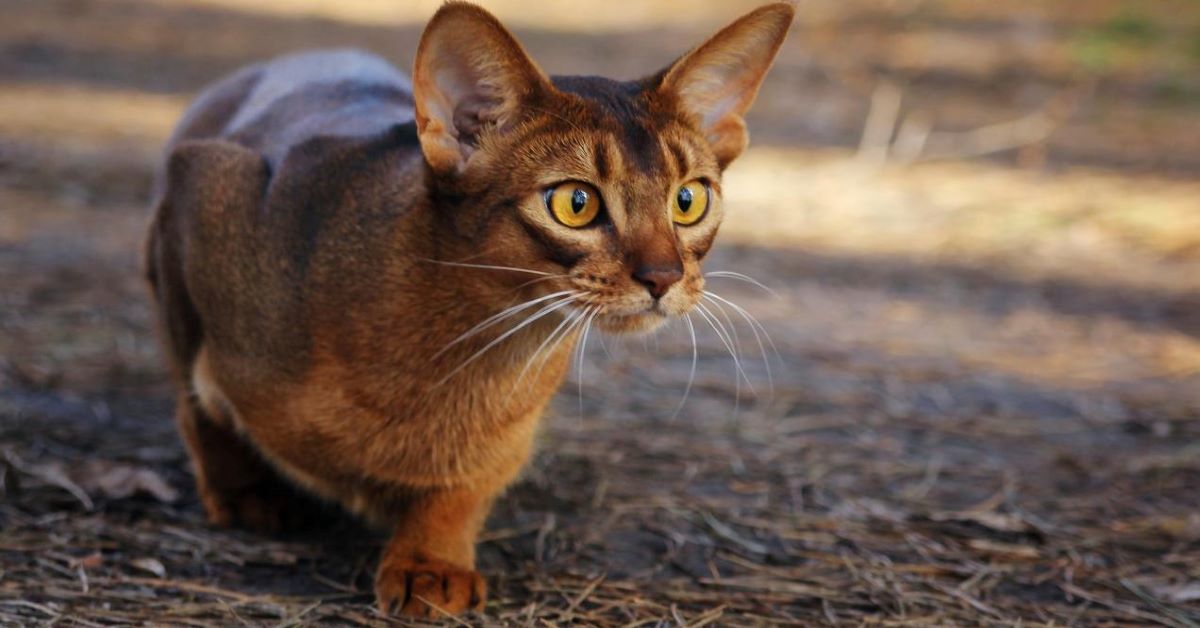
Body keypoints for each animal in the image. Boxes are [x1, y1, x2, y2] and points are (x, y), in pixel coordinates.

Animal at [142, 1, 796, 619]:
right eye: (576, 203)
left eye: (688, 200)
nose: (663, 277)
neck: (470, 348)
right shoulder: (204, 183)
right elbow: (196, 398)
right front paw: (239, 492)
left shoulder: (503, 440)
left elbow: (463, 488)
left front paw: (430, 561)